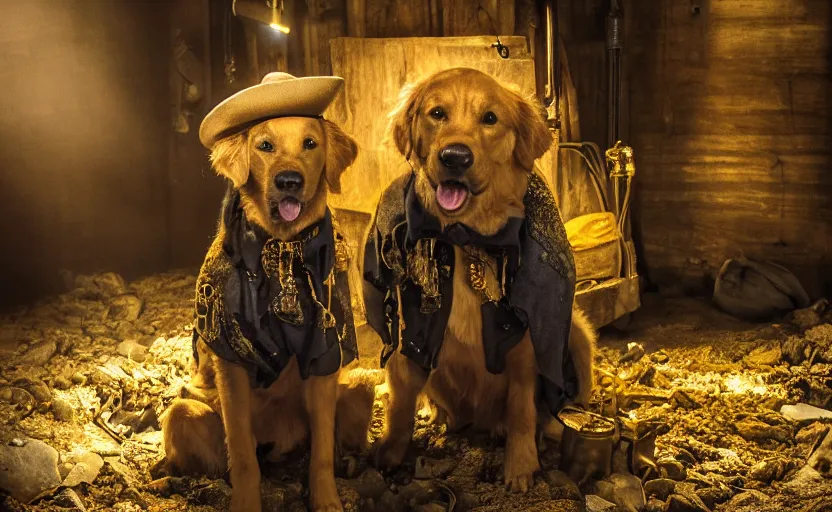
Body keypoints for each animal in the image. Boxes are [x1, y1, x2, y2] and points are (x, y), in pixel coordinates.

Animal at [159, 72, 374, 512]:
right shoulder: (232, 361)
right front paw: (245, 502)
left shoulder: (325, 354)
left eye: (310, 143)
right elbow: (242, 454)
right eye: (265, 146)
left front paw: (326, 500)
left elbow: (322, 452)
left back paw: (350, 463)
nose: (288, 181)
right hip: (183, 413)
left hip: (360, 384)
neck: (282, 249)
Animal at [364, 68, 600, 492]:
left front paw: (521, 466)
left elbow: (522, 410)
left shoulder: (522, 345)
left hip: (576, 334)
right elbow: (401, 403)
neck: (464, 236)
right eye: (437, 113)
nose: (455, 157)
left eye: (490, 119)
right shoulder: (411, 336)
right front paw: (389, 453)